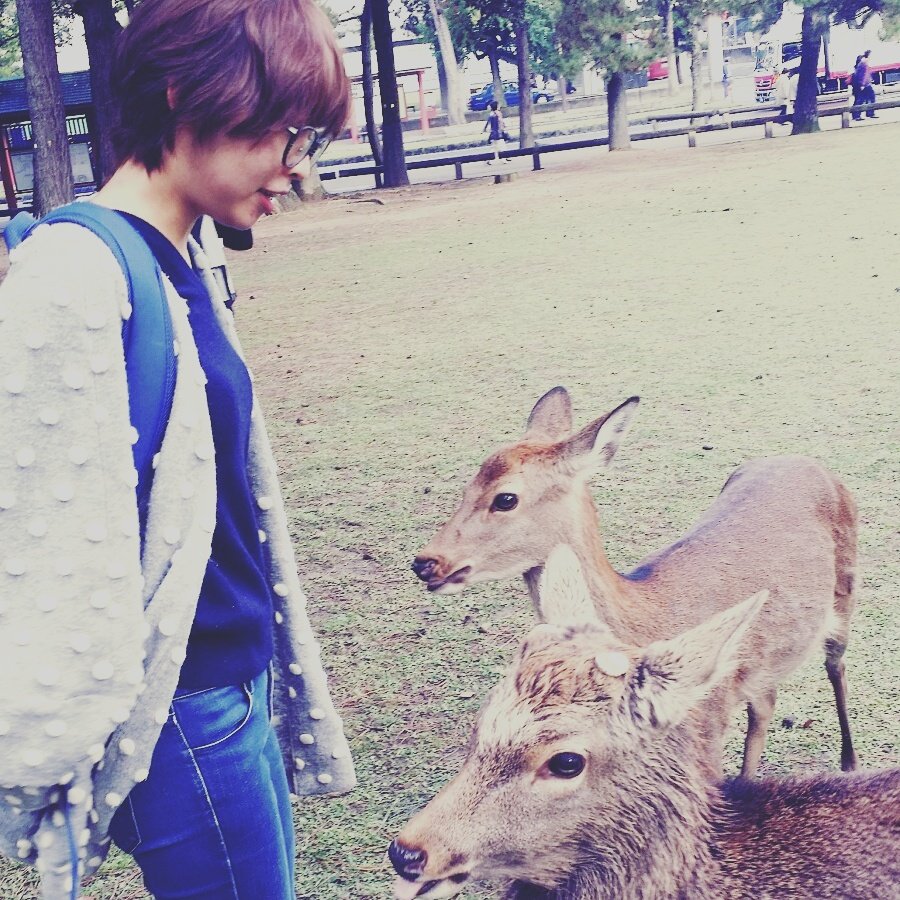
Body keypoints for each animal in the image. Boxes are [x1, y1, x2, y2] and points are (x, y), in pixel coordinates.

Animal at [411, 387, 859, 778]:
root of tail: (810, 462)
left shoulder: (709, 722)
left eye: (506, 498)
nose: (426, 563)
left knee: (835, 666)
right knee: (766, 703)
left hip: (847, 587)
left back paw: (850, 761)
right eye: (467, 486)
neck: (648, 616)